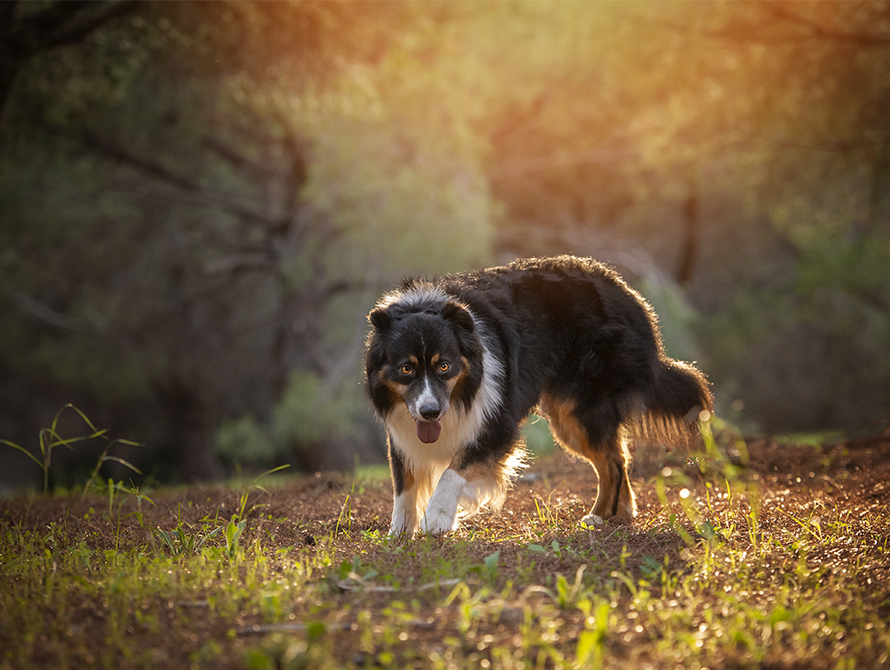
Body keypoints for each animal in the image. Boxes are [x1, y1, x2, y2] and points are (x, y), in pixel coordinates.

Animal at [360, 255, 708, 540]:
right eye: (406, 369)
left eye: (444, 366)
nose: (430, 412)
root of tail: (630, 295)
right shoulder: (403, 433)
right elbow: (404, 487)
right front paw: (399, 533)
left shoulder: (498, 426)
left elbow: (452, 471)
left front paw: (438, 517)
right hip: (568, 417)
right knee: (618, 459)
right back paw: (618, 514)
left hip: (580, 410)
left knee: (611, 463)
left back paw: (598, 517)